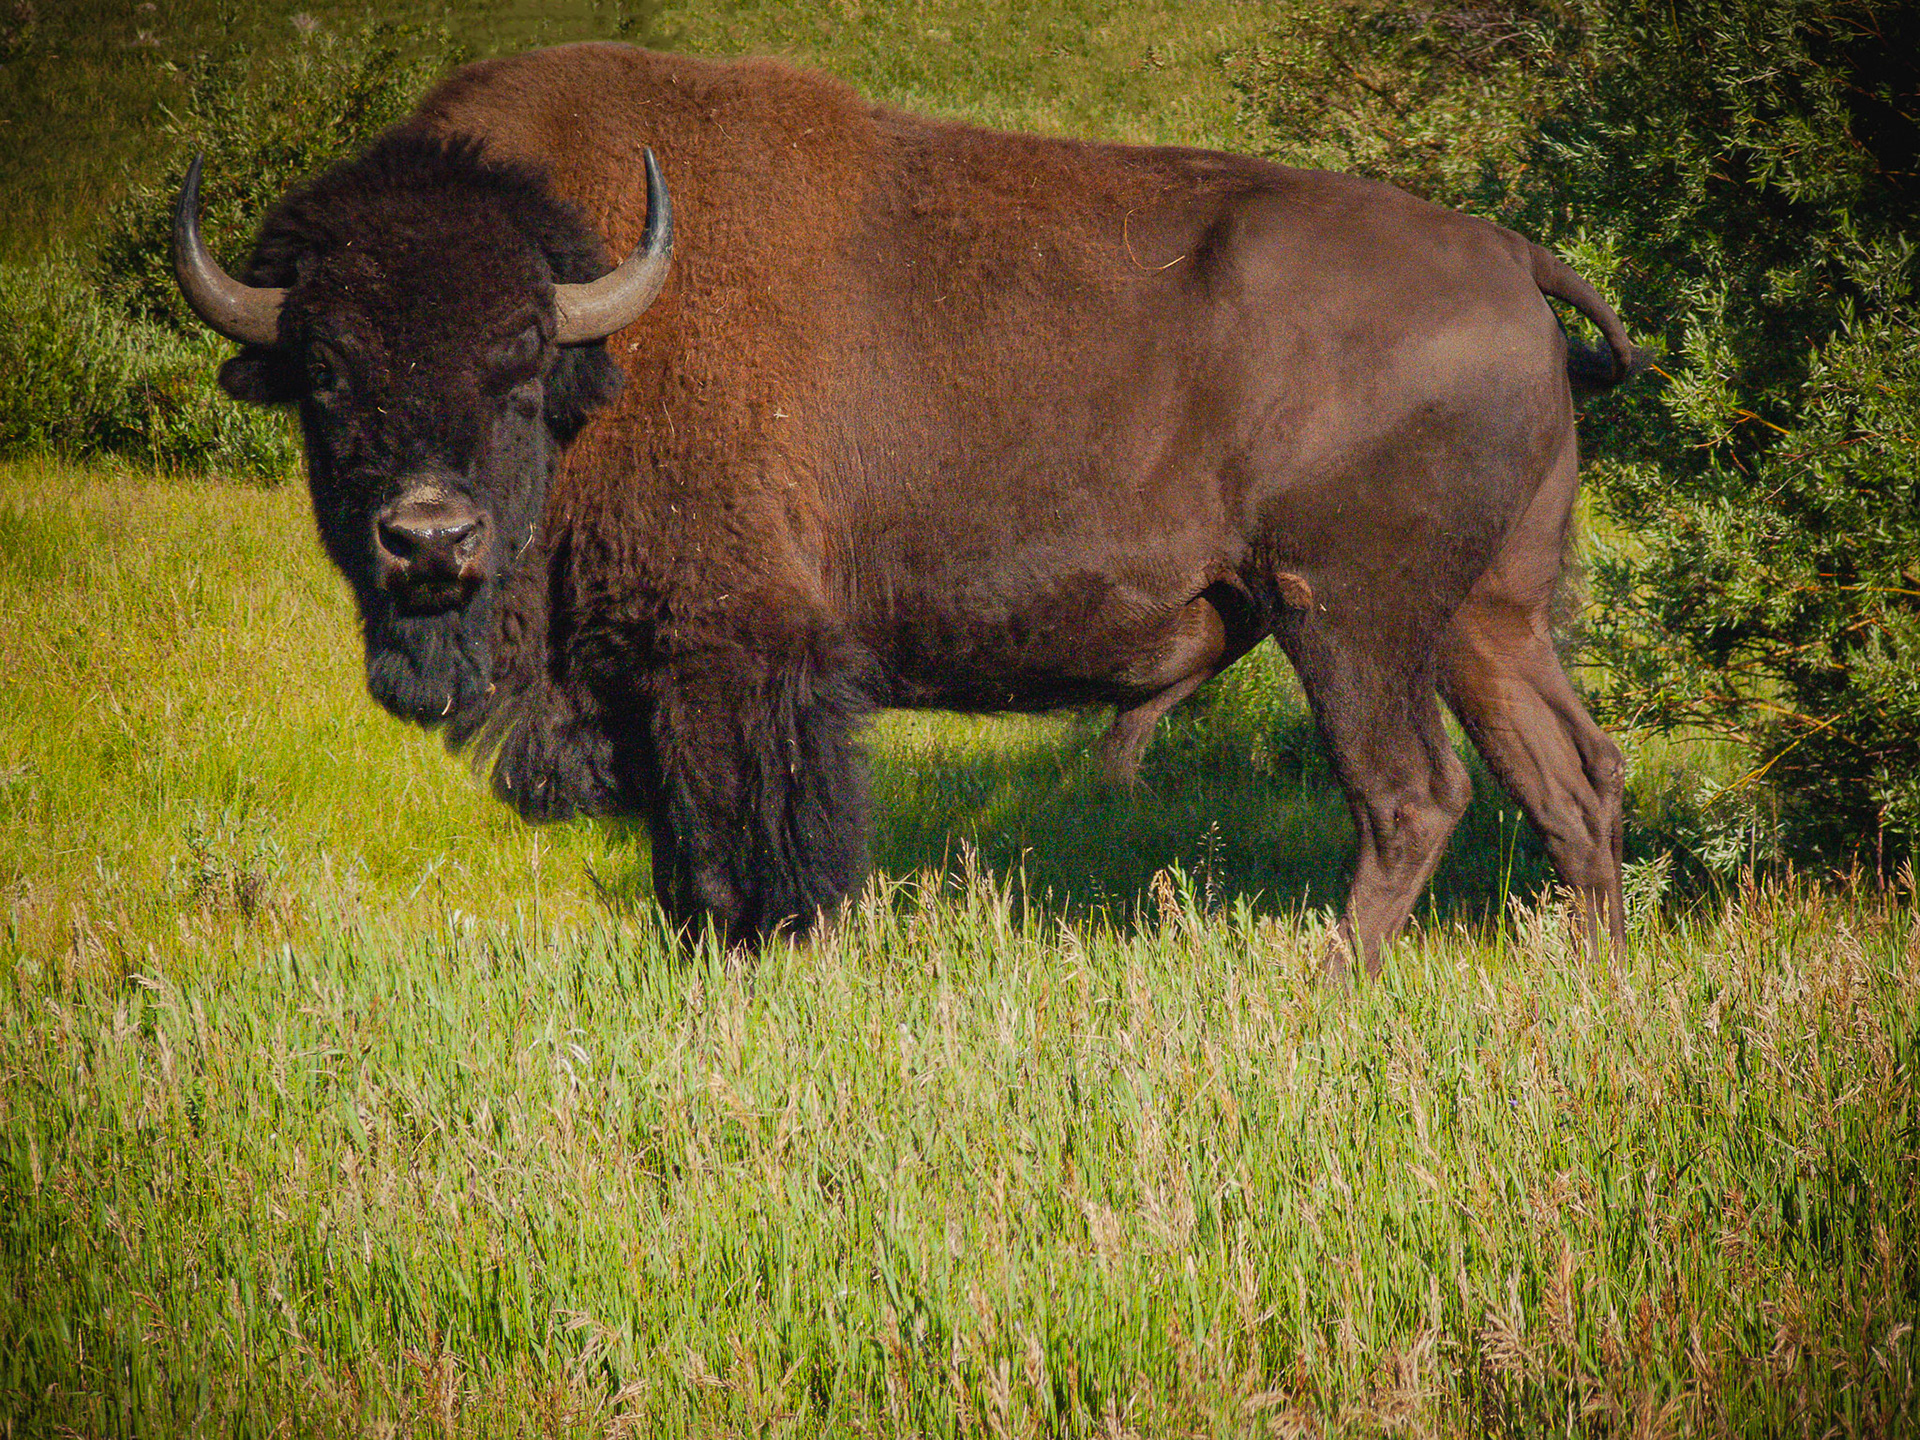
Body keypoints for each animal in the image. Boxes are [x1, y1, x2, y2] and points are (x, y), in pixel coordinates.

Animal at [172, 42, 1644, 975]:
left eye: (519, 357)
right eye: (326, 372)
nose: (430, 539)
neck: (612, 329)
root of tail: (1509, 253)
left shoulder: (737, 658)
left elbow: (751, 853)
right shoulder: (642, 677)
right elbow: (680, 863)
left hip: (1347, 617)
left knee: (1412, 795)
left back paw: (1325, 984)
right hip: (1489, 619)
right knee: (1571, 777)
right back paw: (1584, 978)